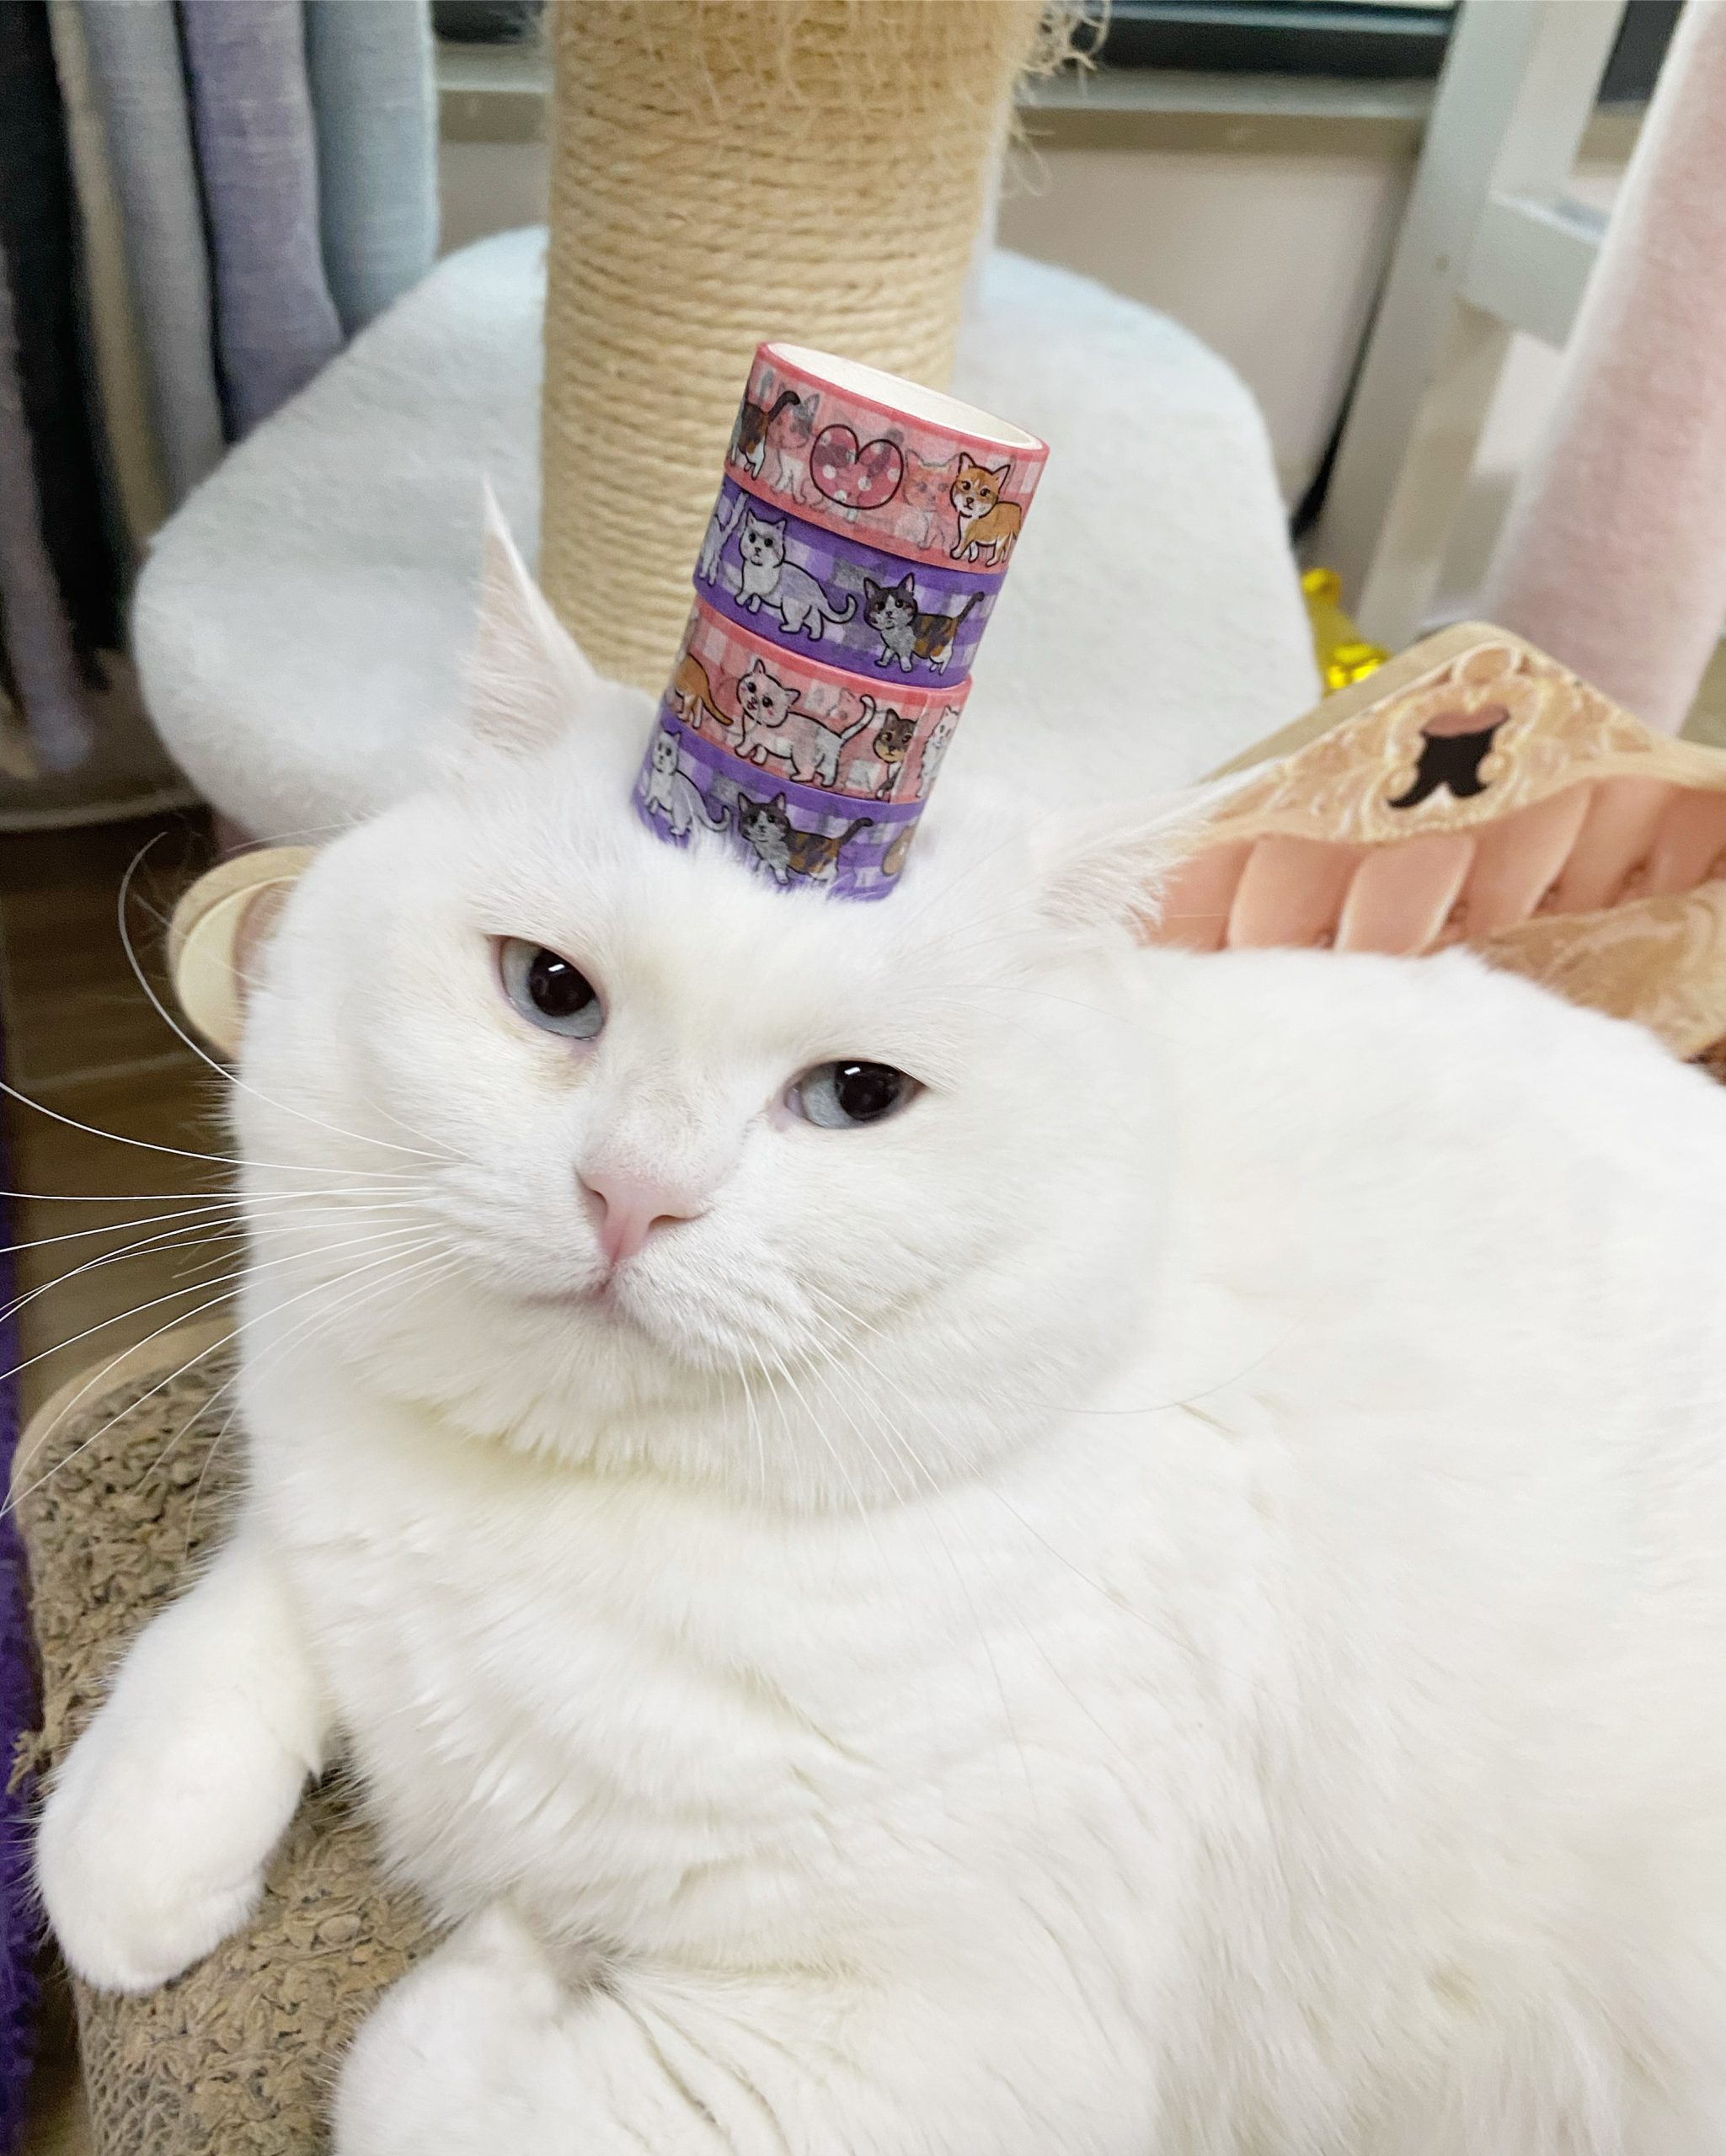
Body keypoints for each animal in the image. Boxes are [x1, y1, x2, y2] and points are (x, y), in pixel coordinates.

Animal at [639, 725, 726, 839]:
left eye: (668, 752)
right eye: (659, 747)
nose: (661, 756)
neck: (661, 773)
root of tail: (700, 804)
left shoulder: (655, 790)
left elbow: (649, 797)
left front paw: (645, 803)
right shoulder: (656, 793)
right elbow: (655, 803)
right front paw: (652, 811)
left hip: (678, 811)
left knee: (682, 828)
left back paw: (674, 831)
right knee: (693, 827)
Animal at [733, 790, 872, 886]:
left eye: (771, 819)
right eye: (753, 819)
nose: (762, 826)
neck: (767, 844)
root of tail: (834, 841)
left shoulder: (783, 857)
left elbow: (779, 867)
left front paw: (782, 878)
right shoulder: (766, 858)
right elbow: (765, 865)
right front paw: (764, 875)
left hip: (816, 867)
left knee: (833, 873)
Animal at [736, 510, 856, 641]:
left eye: (768, 542)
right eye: (751, 537)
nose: (757, 549)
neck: (756, 567)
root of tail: (818, 589)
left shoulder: (753, 587)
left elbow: (746, 593)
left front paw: (739, 600)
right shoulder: (757, 591)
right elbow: (756, 600)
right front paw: (752, 609)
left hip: (790, 605)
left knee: (797, 624)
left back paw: (785, 628)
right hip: (810, 611)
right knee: (816, 622)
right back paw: (813, 636)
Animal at [861, 576, 982, 675]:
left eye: (899, 604)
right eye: (880, 606)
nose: (889, 612)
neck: (894, 630)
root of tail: (953, 619)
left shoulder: (906, 646)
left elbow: (904, 657)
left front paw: (906, 668)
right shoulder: (891, 646)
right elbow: (887, 654)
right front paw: (883, 663)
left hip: (936, 650)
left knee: (948, 655)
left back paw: (941, 671)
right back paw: (933, 668)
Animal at [949, 456, 1023, 566]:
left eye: (984, 492)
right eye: (966, 485)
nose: (969, 500)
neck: (970, 518)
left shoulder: (968, 536)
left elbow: (963, 545)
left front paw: (956, 553)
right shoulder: (970, 536)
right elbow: (974, 547)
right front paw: (971, 558)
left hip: (1000, 538)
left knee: (998, 553)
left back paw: (991, 562)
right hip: (1007, 537)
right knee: (1006, 549)